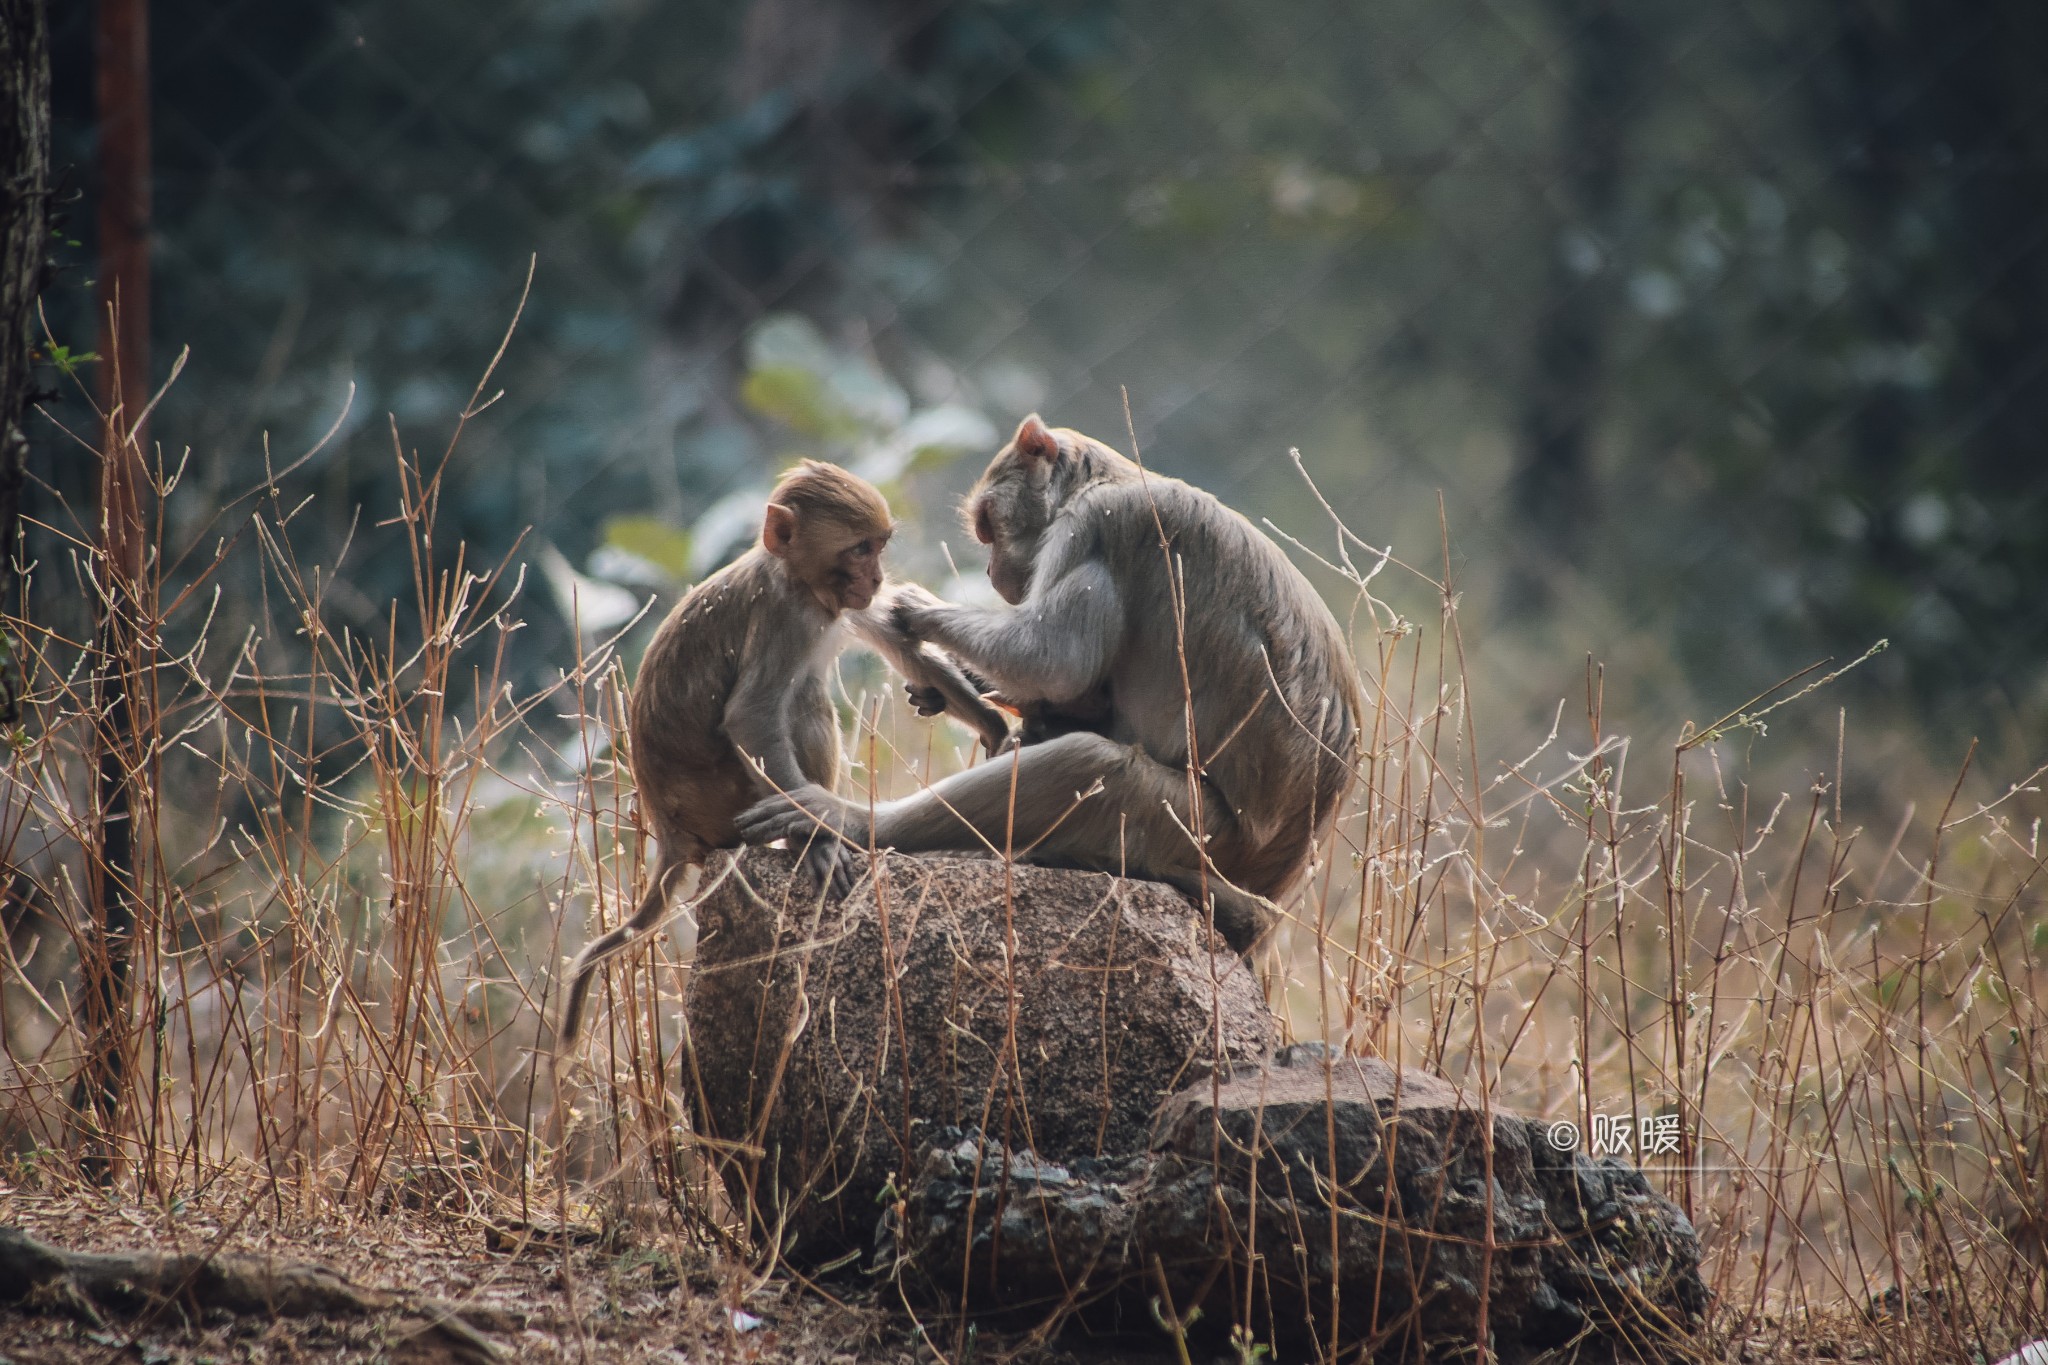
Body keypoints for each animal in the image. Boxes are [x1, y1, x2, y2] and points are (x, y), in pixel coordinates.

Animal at [557, 464, 1011, 1055]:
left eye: (878, 547)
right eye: (859, 549)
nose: (875, 578)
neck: (798, 579)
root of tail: (670, 829)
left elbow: (903, 645)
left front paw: (995, 726)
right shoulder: (786, 618)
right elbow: (751, 714)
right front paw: (815, 834)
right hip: (722, 800)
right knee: (802, 700)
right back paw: (803, 844)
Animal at [737, 417, 1359, 949]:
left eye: (989, 526)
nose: (991, 572)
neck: (1110, 476)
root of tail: (1270, 892)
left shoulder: (1097, 527)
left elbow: (1055, 663)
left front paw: (919, 610)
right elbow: (1070, 688)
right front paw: (960, 687)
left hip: (1196, 833)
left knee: (1094, 763)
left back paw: (854, 821)